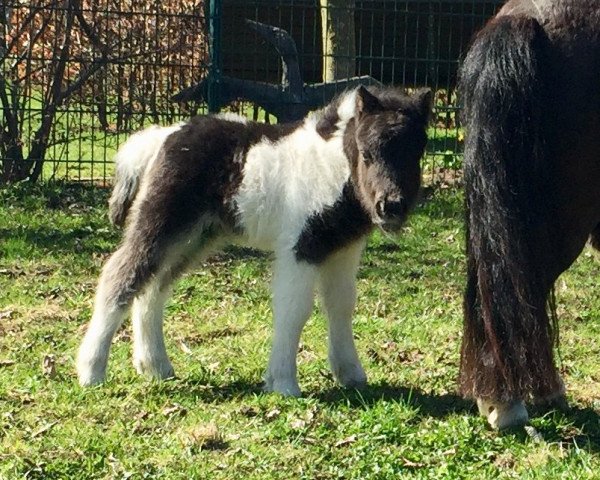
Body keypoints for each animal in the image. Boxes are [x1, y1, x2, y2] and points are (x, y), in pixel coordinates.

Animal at [77, 87, 432, 398]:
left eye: (417, 153)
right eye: (367, 153)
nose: (391, 207)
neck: (333, 168)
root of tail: (163, 136)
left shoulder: (343, 250)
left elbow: (341, 306)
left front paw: (351, 374)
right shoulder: (300, 248)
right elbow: (294, 309)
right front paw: (283, 383)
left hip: (194, 237)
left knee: (152, 289)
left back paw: (156, 367)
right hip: (162, 222)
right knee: (120, 276)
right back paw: (91, 371)